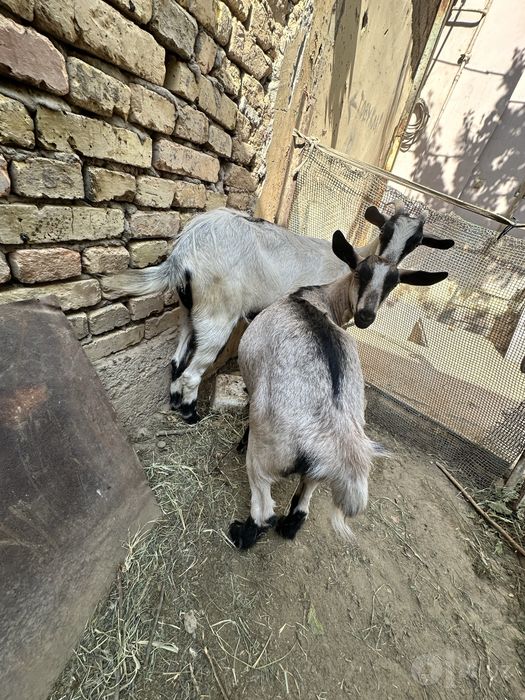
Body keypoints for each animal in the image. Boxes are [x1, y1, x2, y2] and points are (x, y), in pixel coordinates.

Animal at [105, 205, 453, 423]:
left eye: (416, 242)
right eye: (385, 231)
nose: (390, 261)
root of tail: (184, 249)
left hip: (189, 310)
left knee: (177, 360)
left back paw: (176, 405)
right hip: (219, 314)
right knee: (192, 370)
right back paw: (191, 416)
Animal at [229, 231, 449, 549]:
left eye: (393, 284)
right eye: (361, 273)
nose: (366, 316)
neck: (316, 298)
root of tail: (336, 440)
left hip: (265, 456)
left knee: (264, 510)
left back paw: (240, 533)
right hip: (319, 469)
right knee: (302, 503)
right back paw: (289, 526)